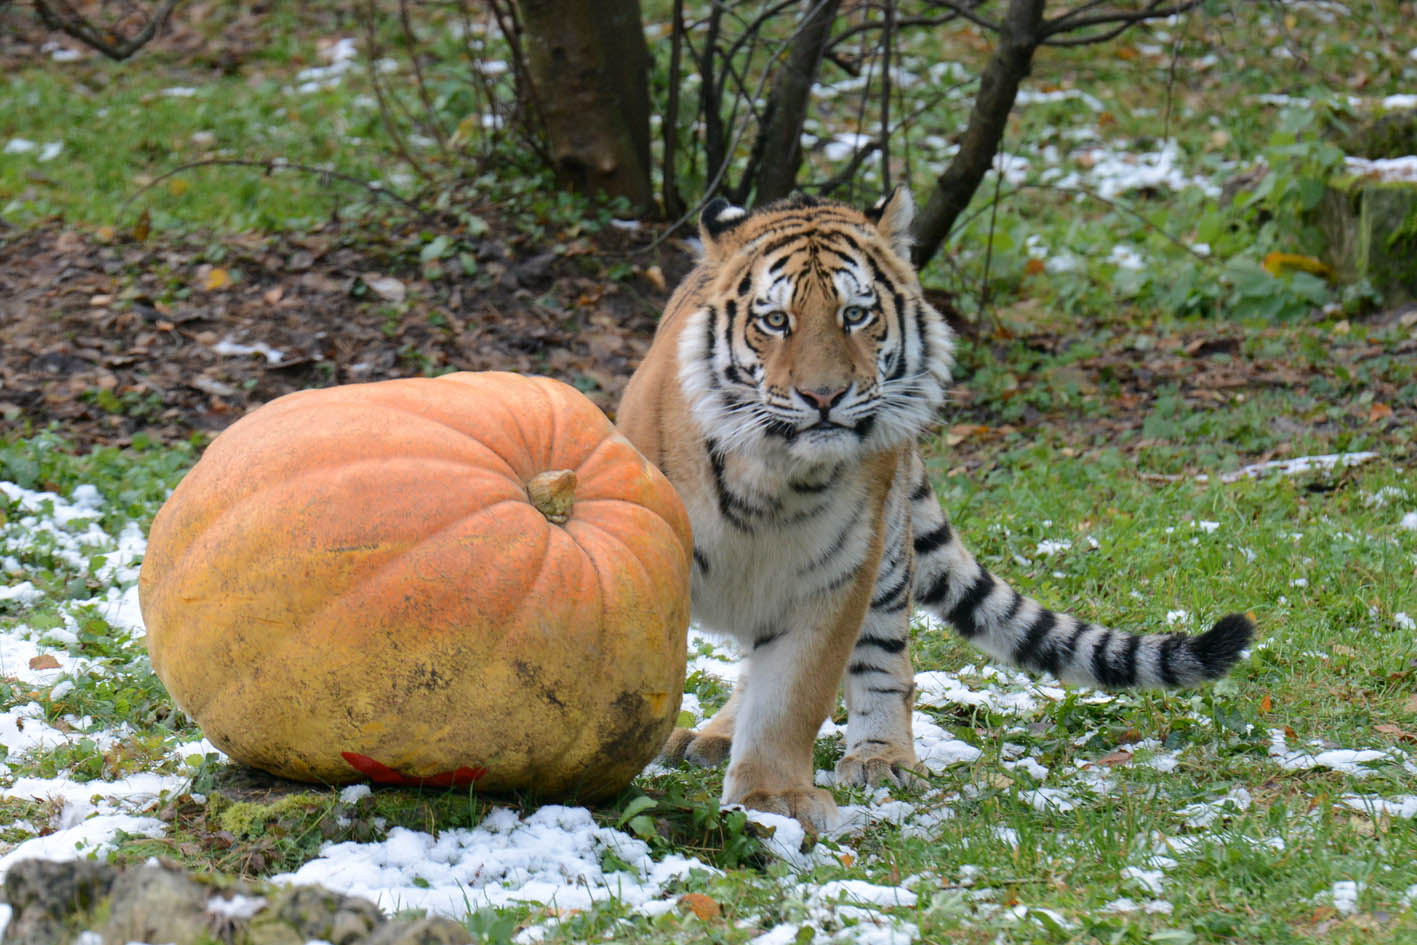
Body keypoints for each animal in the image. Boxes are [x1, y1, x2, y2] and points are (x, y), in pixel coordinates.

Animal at [614, 188, 1253, 832]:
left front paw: (773, 799)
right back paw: (716, 737)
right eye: (775, 321)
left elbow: (793, 696)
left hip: (887, 559)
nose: (824, 397)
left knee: (886, 665)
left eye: (855, 315)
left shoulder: (834, 579)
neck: (775, 476)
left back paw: (882, 759)